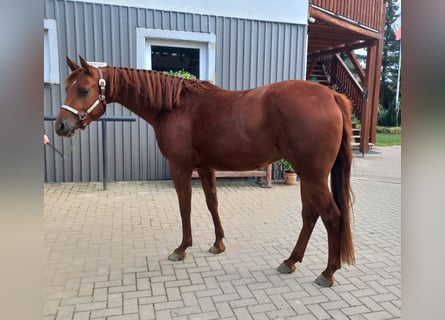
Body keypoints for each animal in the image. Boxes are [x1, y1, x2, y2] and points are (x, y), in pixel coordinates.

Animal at [55, 55, 354, 288]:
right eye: (67, 87)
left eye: (84, 90)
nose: (60, 126)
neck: (175, 106)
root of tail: (331, 95)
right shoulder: (205, 167)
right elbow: (212, 204)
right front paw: (218, 244)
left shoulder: (180, 167)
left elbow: (185, 206)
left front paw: (181, 248)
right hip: (308, 176)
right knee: (310, 216)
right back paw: (290, 261)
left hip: (313, 176)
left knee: (331, 215)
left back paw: (327, 272)